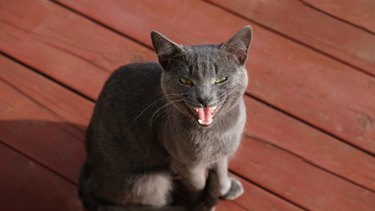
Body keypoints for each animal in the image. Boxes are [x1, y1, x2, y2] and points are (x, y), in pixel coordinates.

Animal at [78, 25, 253, 210]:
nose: (204, 98)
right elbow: (197, 185)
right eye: (185, 81)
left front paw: (225, 188)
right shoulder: (187, 163)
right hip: (149, 183)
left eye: (221, 80)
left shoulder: (223, 152)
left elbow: (221, 170)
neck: (219, 132)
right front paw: (202, 203)